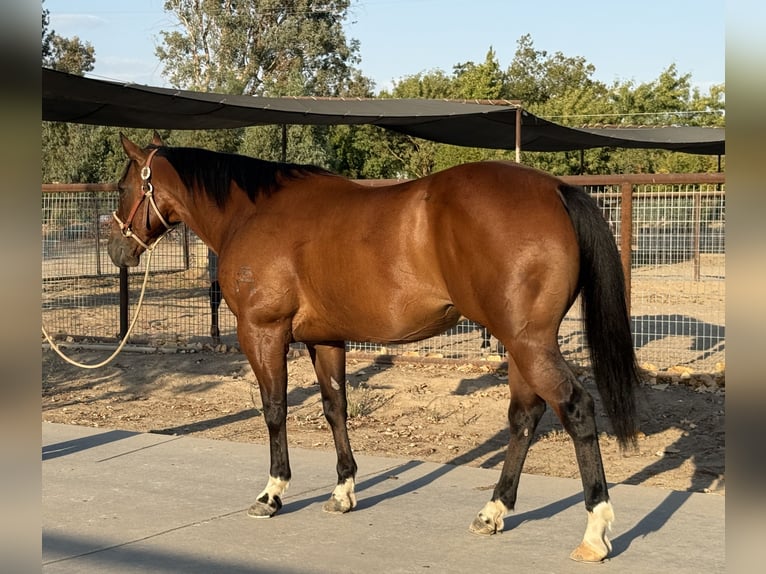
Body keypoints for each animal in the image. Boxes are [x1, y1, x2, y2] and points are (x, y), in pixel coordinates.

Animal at [108, 133, 640, 563]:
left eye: (122, 186)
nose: (117, 249)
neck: (253, 212)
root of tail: (555, 190)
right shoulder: (325, 339)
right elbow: (335, 407)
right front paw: (343, 490)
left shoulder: (263, 332)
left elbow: (275, 409)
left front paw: (272, 493)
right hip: (519, 345)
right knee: (524, 418)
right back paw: (493, 512)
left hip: (529, 343)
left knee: (576, 409)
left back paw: (594, 533)